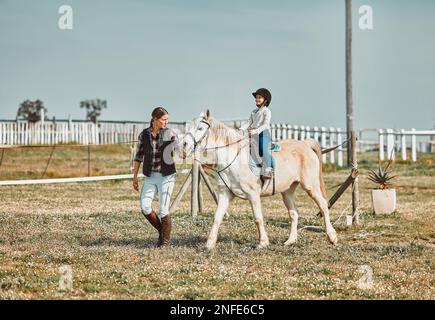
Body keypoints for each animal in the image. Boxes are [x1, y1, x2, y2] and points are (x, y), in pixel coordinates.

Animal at [179, 110, 338, 250]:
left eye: (200, 128)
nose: (183, 146)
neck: (233, 159)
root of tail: (305, 144)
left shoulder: (253, 194)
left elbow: (258, 218)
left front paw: (263, 243)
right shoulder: (225, 194)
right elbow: (217, 217)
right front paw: (209, 244)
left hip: (311, 186)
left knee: (323, 205)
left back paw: (332, 237)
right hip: (287, 191)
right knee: (294, 213)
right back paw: (290, 241)